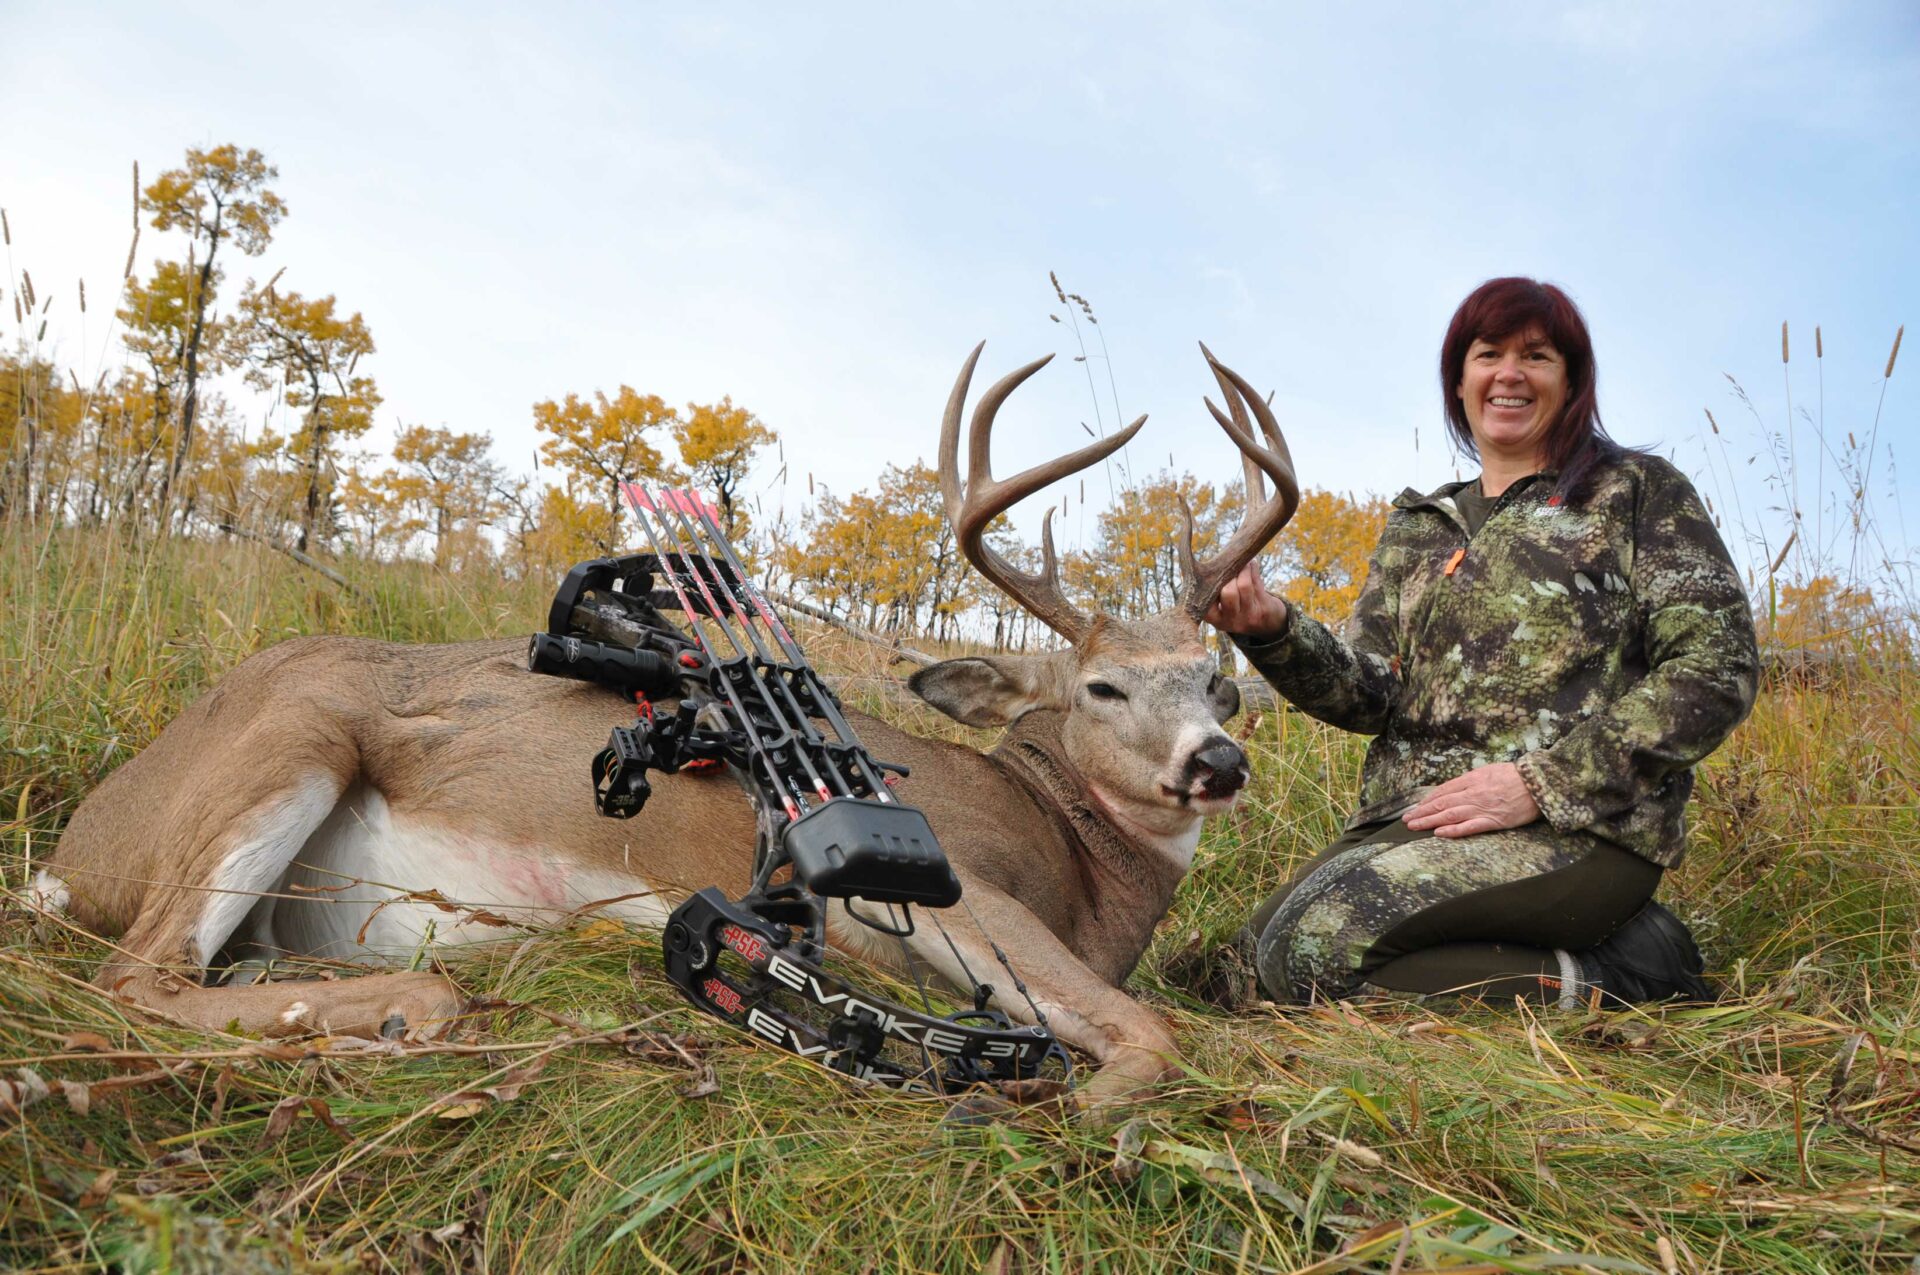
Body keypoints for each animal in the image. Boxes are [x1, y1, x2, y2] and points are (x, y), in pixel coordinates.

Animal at [37, 345, 1297, 1106]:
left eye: (1219, 679)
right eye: (1102, 691)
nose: (1219, 761)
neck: (1079, 858)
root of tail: (77, 851)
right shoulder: (957, 881)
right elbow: (1144, 1027)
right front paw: (1081, 1109)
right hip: (285, 737)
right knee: (139, 980)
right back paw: (407, 1012)